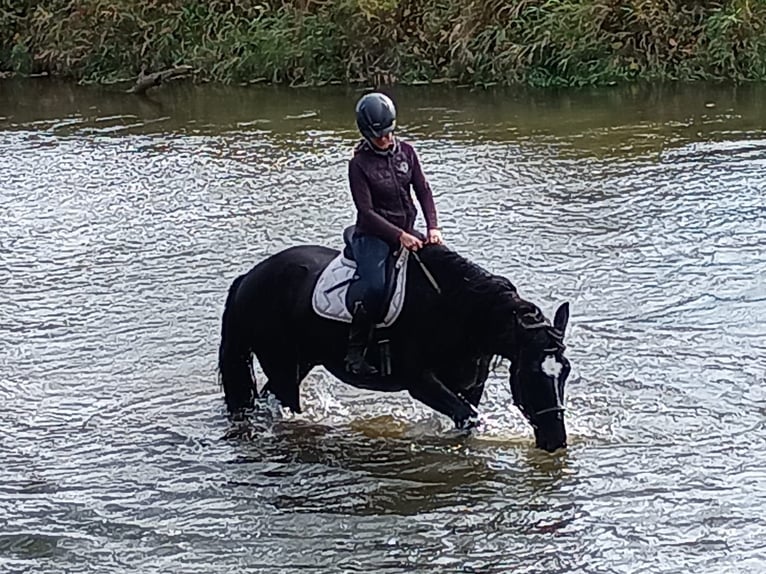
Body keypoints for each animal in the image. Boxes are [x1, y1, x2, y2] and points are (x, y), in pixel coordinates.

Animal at [217, 241, 572, 452]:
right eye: (530, 373)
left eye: (564, 372)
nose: (556, 441)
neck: (461, 312)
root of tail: (249, 277)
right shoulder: (421, 382)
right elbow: (467, 417)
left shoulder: (471, 385)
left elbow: (466, 421)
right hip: (283, 366)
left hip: (298, 363)